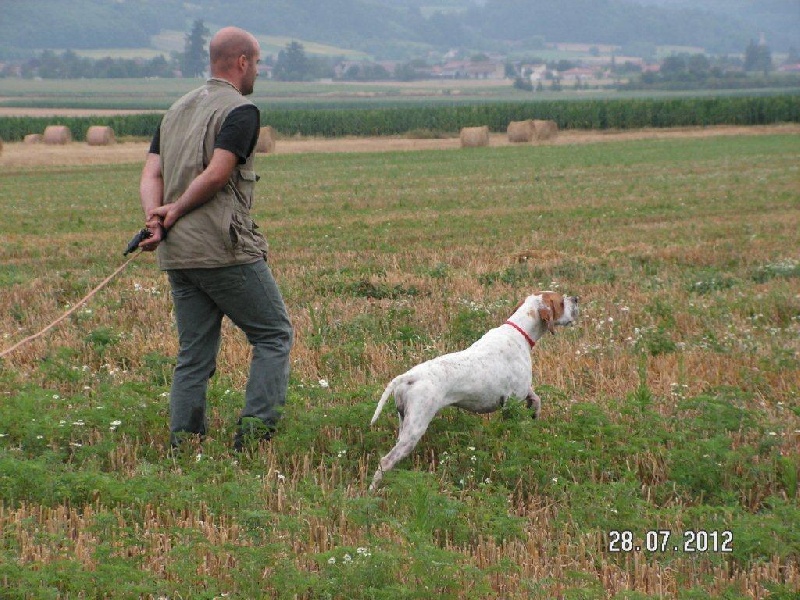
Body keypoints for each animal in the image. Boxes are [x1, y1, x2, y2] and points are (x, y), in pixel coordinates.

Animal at [368, 292, 576, 492]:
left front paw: (535, 413)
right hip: (415, 428)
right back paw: (372, 490)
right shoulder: (513, 401)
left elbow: (536, 398)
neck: (520, 333)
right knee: (385, 461)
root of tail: (409, 376)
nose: (576, 298)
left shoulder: (523, 391)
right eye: (561, 302)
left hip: (404, 422)